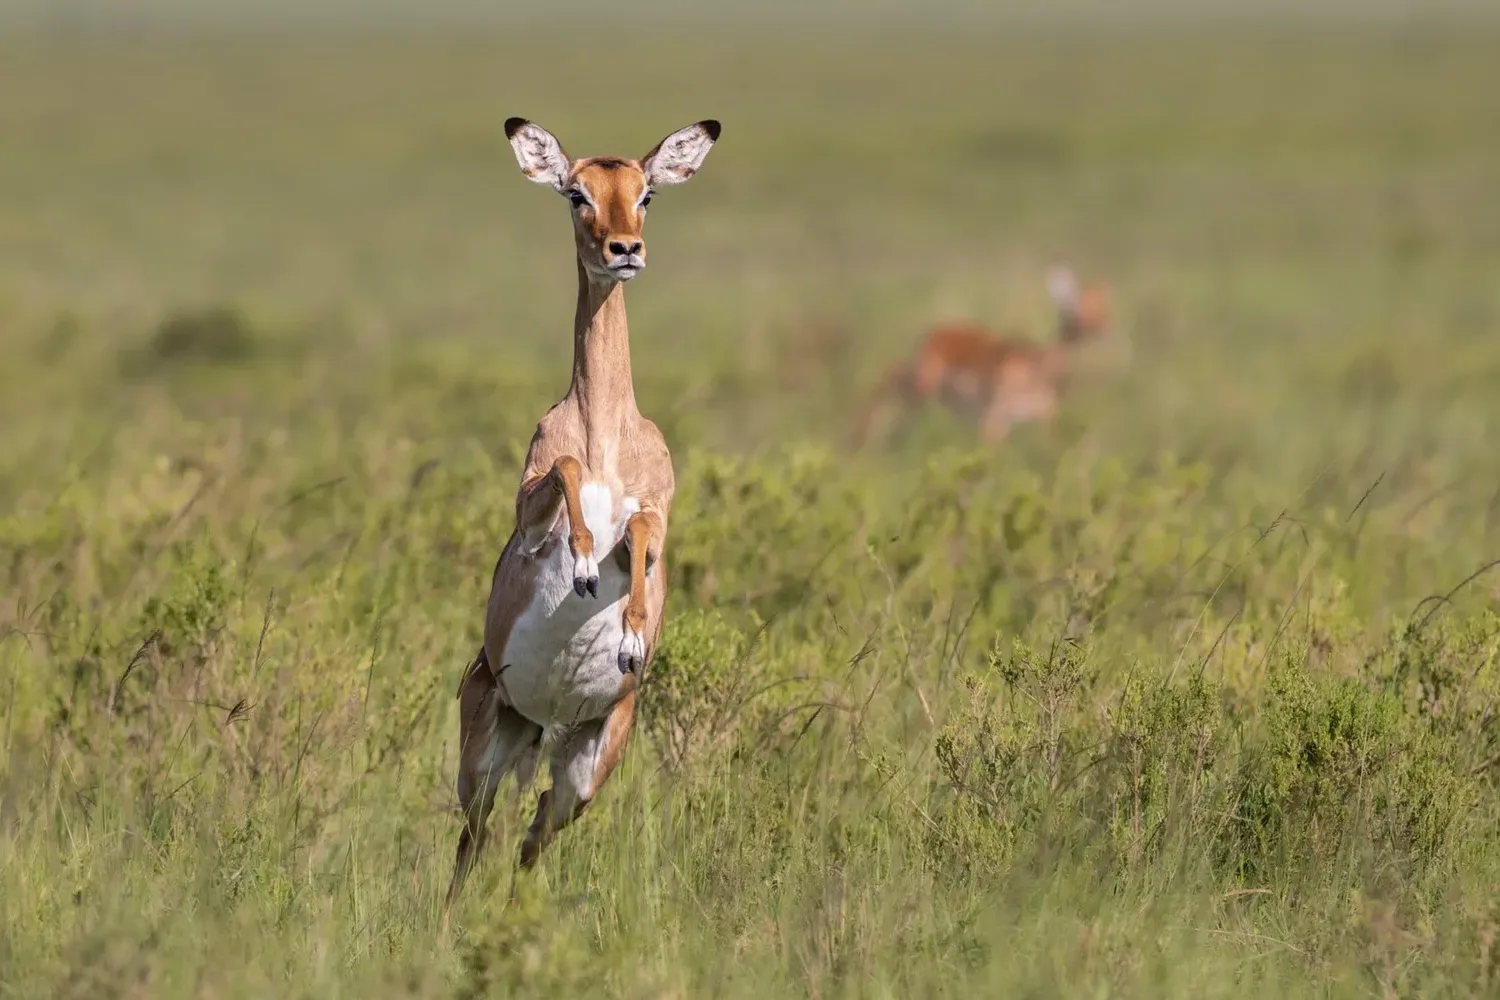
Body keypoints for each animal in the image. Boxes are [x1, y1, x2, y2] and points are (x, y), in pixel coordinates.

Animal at [446, 116, 720, 905]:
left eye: (646, 192)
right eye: (577, 193)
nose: (624, 250)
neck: (603, 433)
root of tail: (547, 726)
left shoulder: (659, 518)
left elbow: (639, 528)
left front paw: (628, 636)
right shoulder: (529, 513)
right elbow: (566, 477)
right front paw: (585, 565)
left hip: (587, 765)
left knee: (533, 832)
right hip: (485, 753)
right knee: (474, 840)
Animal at [855, 265, 1113, 446]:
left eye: (1104, 306)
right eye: (1075, 305)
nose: (1104, 327)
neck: (1037, 366)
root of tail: (933, 332)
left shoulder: (1044, 415)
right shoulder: (993, 417)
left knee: (891, 374)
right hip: (923, 384)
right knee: (889, 375)